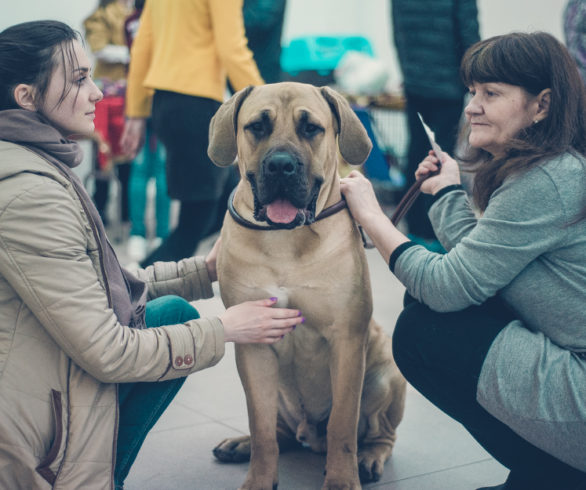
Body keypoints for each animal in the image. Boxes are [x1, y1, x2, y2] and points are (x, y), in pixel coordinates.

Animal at [208, 82, 404, 488]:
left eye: (311, 128)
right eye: (257, 126)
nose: (281, 165)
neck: (285, 240)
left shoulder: (346, 341)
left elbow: (342, 425)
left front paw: (342, 480)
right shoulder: (254, 343)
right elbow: (262, 427)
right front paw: (259, 479)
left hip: (383, 377)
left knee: (380, 434)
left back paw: (369, 458)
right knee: (279, 432)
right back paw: (241, 444)